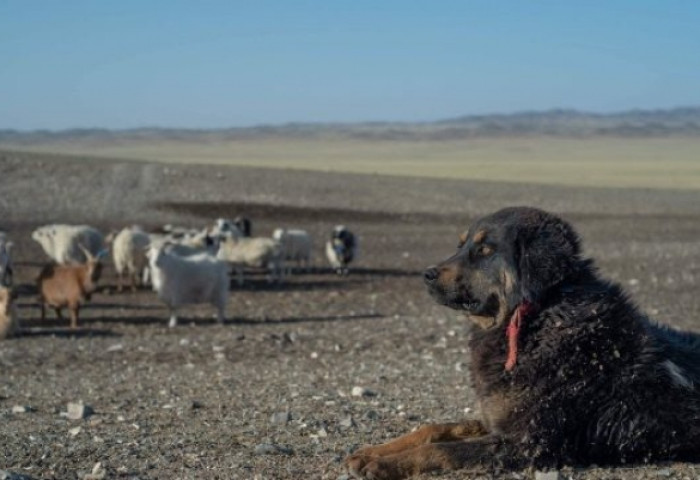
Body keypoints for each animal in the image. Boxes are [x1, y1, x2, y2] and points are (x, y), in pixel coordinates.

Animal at [344, 206, 700, 480]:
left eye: (485, 250)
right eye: (460, 245)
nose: (427, 274)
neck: (538, 317)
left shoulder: (527, 443)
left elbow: (442, 449)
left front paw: (385, 464)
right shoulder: (497, 419)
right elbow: (433, 429)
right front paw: (374, 451)